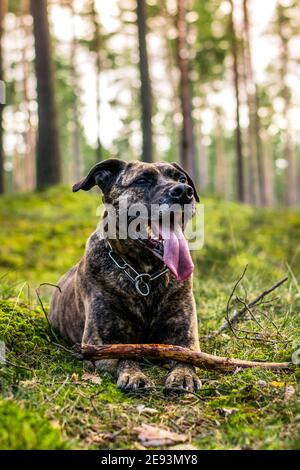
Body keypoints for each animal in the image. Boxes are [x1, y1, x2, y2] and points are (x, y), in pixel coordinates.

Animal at [49, 160, 202, 392]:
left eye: (181, 178)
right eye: (142, 180)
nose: (184, 192)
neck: (144, 275)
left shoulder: (185, 337)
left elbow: (186, 357)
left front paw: (183, 375)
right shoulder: (100, 343)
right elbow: (126, 354)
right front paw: (134, 375)